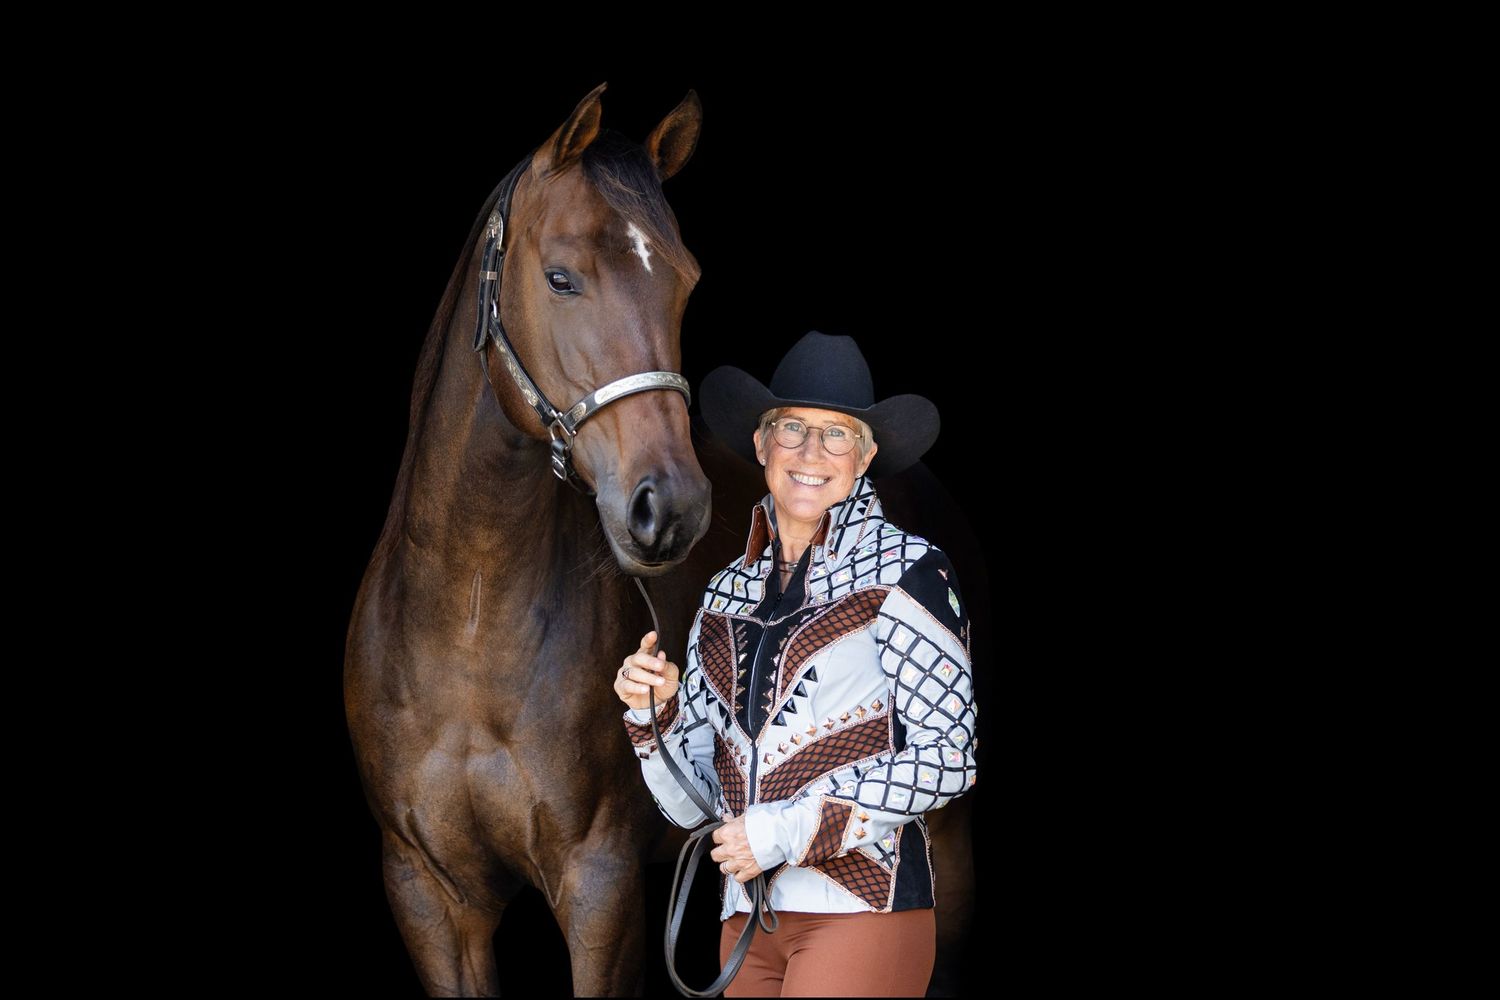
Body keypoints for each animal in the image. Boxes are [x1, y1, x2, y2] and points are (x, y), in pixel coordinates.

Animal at [345, 82, 982, 996]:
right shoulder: (427, 892)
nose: (669, 508)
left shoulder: (598, 882)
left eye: (683, 284)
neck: (467, 618)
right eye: (561, 277)